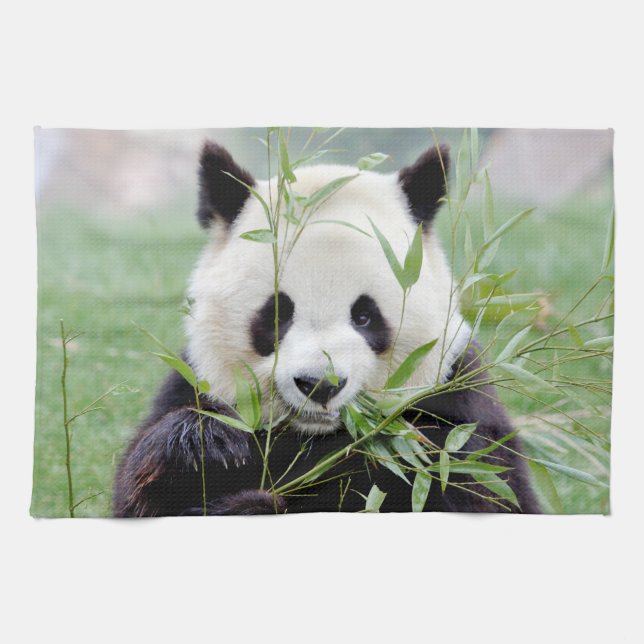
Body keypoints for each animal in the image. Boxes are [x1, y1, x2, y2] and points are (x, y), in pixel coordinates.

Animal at [113, 139, 540, 516]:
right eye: (276, 314)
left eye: (365, 316)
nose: (320, 384)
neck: (316, 435)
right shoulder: (196, 381)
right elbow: (142, 486)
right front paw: (206, 443)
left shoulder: (455, 407)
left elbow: (461, 483)